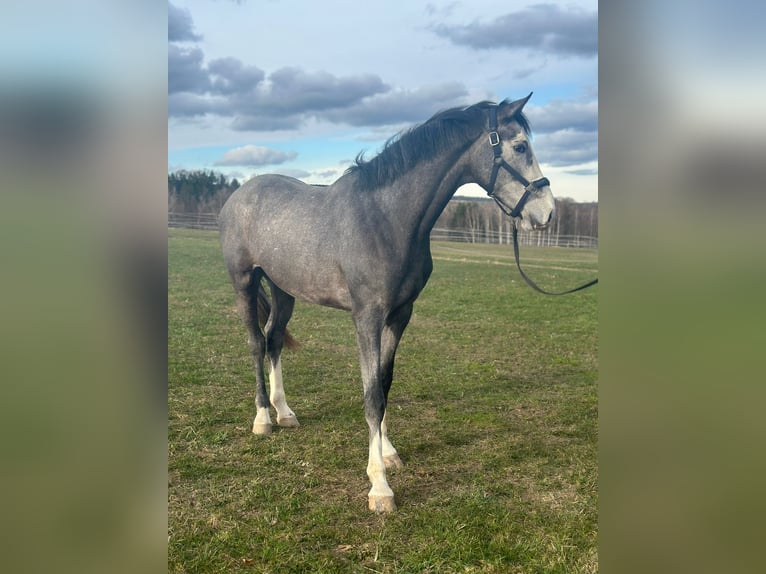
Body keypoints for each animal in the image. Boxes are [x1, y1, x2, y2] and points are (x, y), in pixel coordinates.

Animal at [219, 93, 556, 512]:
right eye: (521, 147)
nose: (547, 212)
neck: (386, 218)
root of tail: (239, 195)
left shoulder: (400, 314)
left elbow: (384, 382)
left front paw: (389, 453)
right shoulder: (367, 318)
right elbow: (371, 395)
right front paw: (379, 486)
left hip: (284, 289)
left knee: (274, 339)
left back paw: (284, 413)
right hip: (244, 283)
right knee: (254, 343)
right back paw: (263, 419)